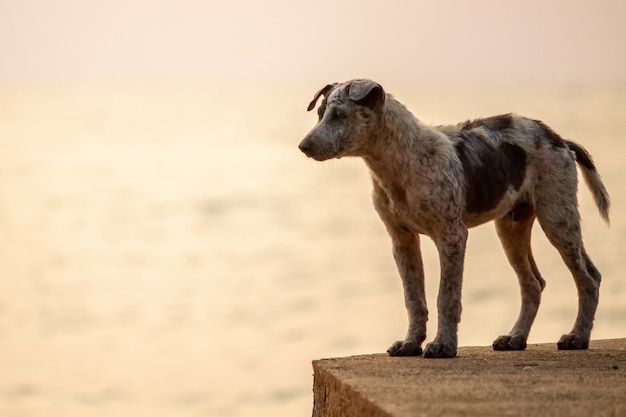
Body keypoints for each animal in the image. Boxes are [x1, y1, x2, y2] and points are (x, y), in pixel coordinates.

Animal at [298, 79, 608, 358]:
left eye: (339, 115)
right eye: (320, 113)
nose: (303, 146)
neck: (399, 164)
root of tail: (560, 140)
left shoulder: (451, 236)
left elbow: (445, 297)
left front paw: (443, 345)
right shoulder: (402, 241)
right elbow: (414, 299)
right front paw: (411, 344)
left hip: (557, 217)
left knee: (588, 279)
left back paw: (577, 337)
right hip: (512, 227)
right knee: (533, 284)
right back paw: (515, 338)